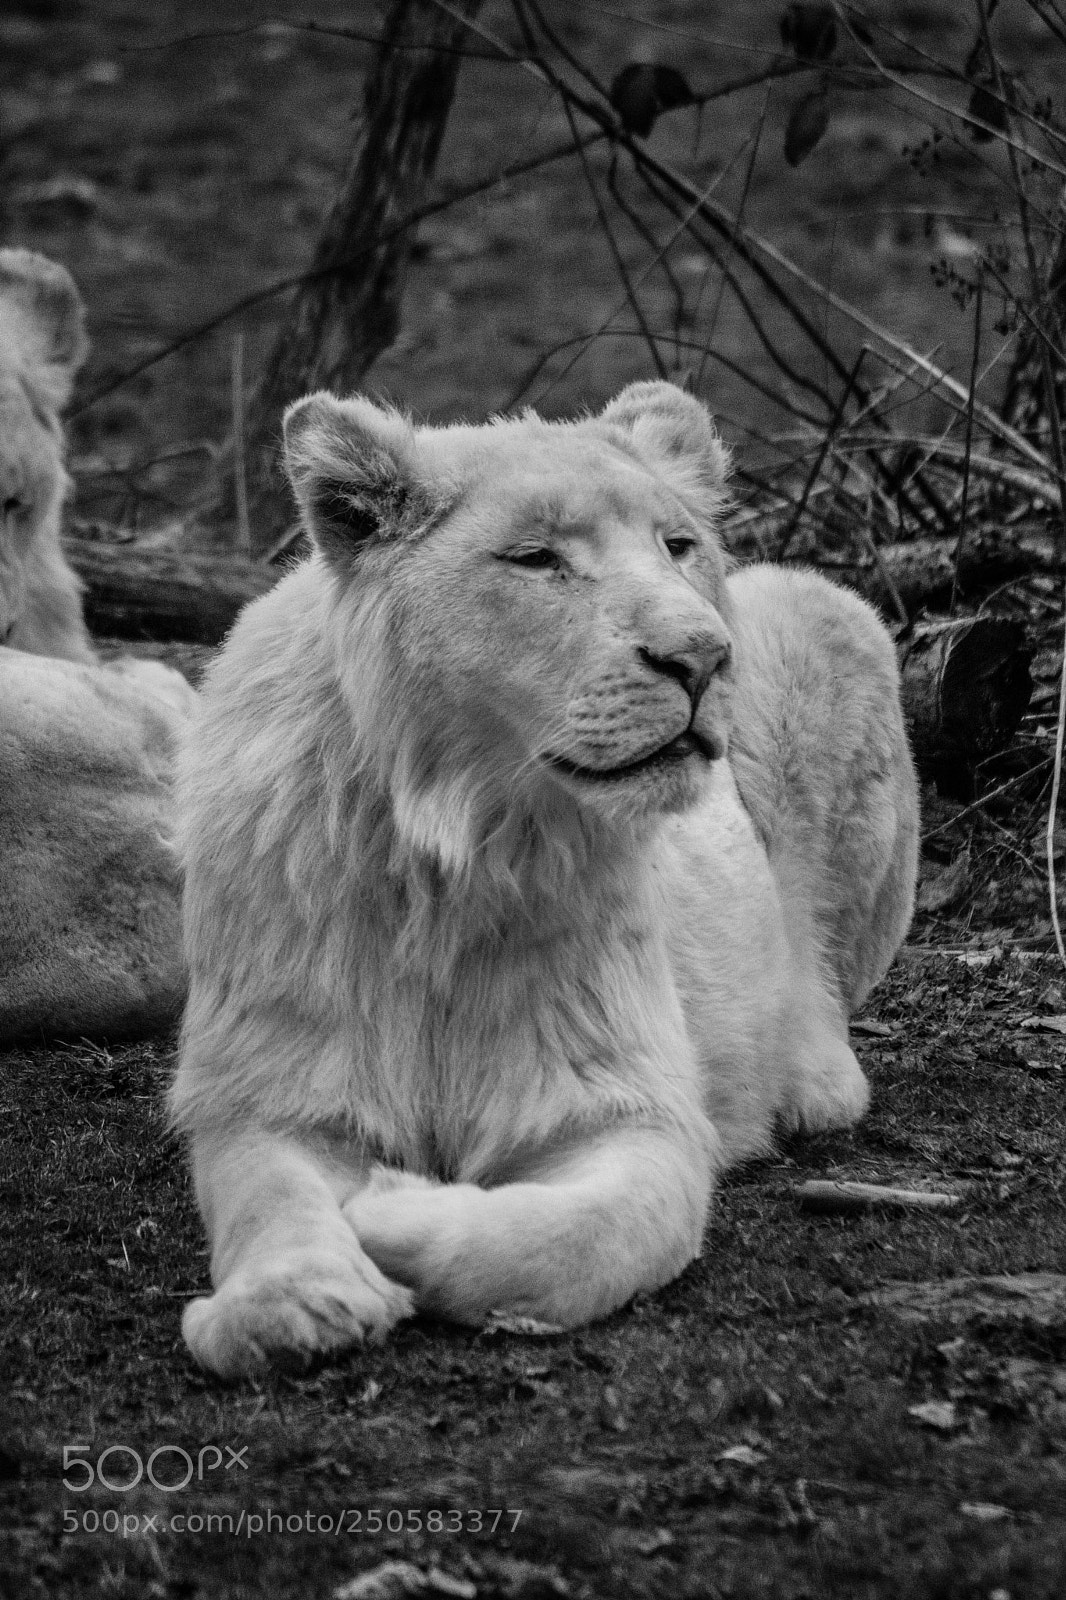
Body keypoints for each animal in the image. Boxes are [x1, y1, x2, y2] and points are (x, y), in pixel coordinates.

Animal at [170, 380, 918, 1379]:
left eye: (677, 546)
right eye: (536, 559)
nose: (701, 656)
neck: (457, 847)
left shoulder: (627, 1109)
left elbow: (560, 1242)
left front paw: (388, 1204)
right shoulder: (274, 1087)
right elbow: (269, 1196)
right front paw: (286, 1303)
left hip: (826, 608)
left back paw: (807, 1080)